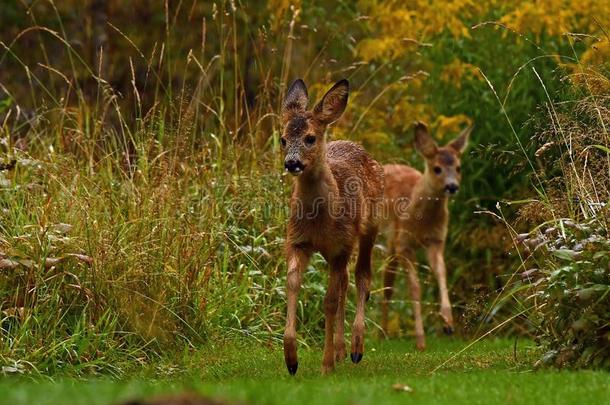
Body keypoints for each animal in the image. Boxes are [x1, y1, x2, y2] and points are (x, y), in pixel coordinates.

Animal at [280, 77, 380, 374]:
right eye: (283, 139)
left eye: (310, 138)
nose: (292, 163)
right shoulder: (297, 240)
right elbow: (292, 285)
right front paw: (291, 360)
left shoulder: (341, 246)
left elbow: (329, 301)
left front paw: (326, 366)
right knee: (346, 281)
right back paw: (340, 350)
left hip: (370, 228)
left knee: (362, 277)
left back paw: (356, 349)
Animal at [380, 121, 470, 348]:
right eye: (437, 168)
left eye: (458, 167)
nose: (452, 186)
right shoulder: (404, 243)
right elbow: (414, 287)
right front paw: (420, 340)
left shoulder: (436, 240)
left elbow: (442, 273)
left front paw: (448, 323)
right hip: (388, 236)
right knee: (386, 281)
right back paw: (381, 334)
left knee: (387, 279)